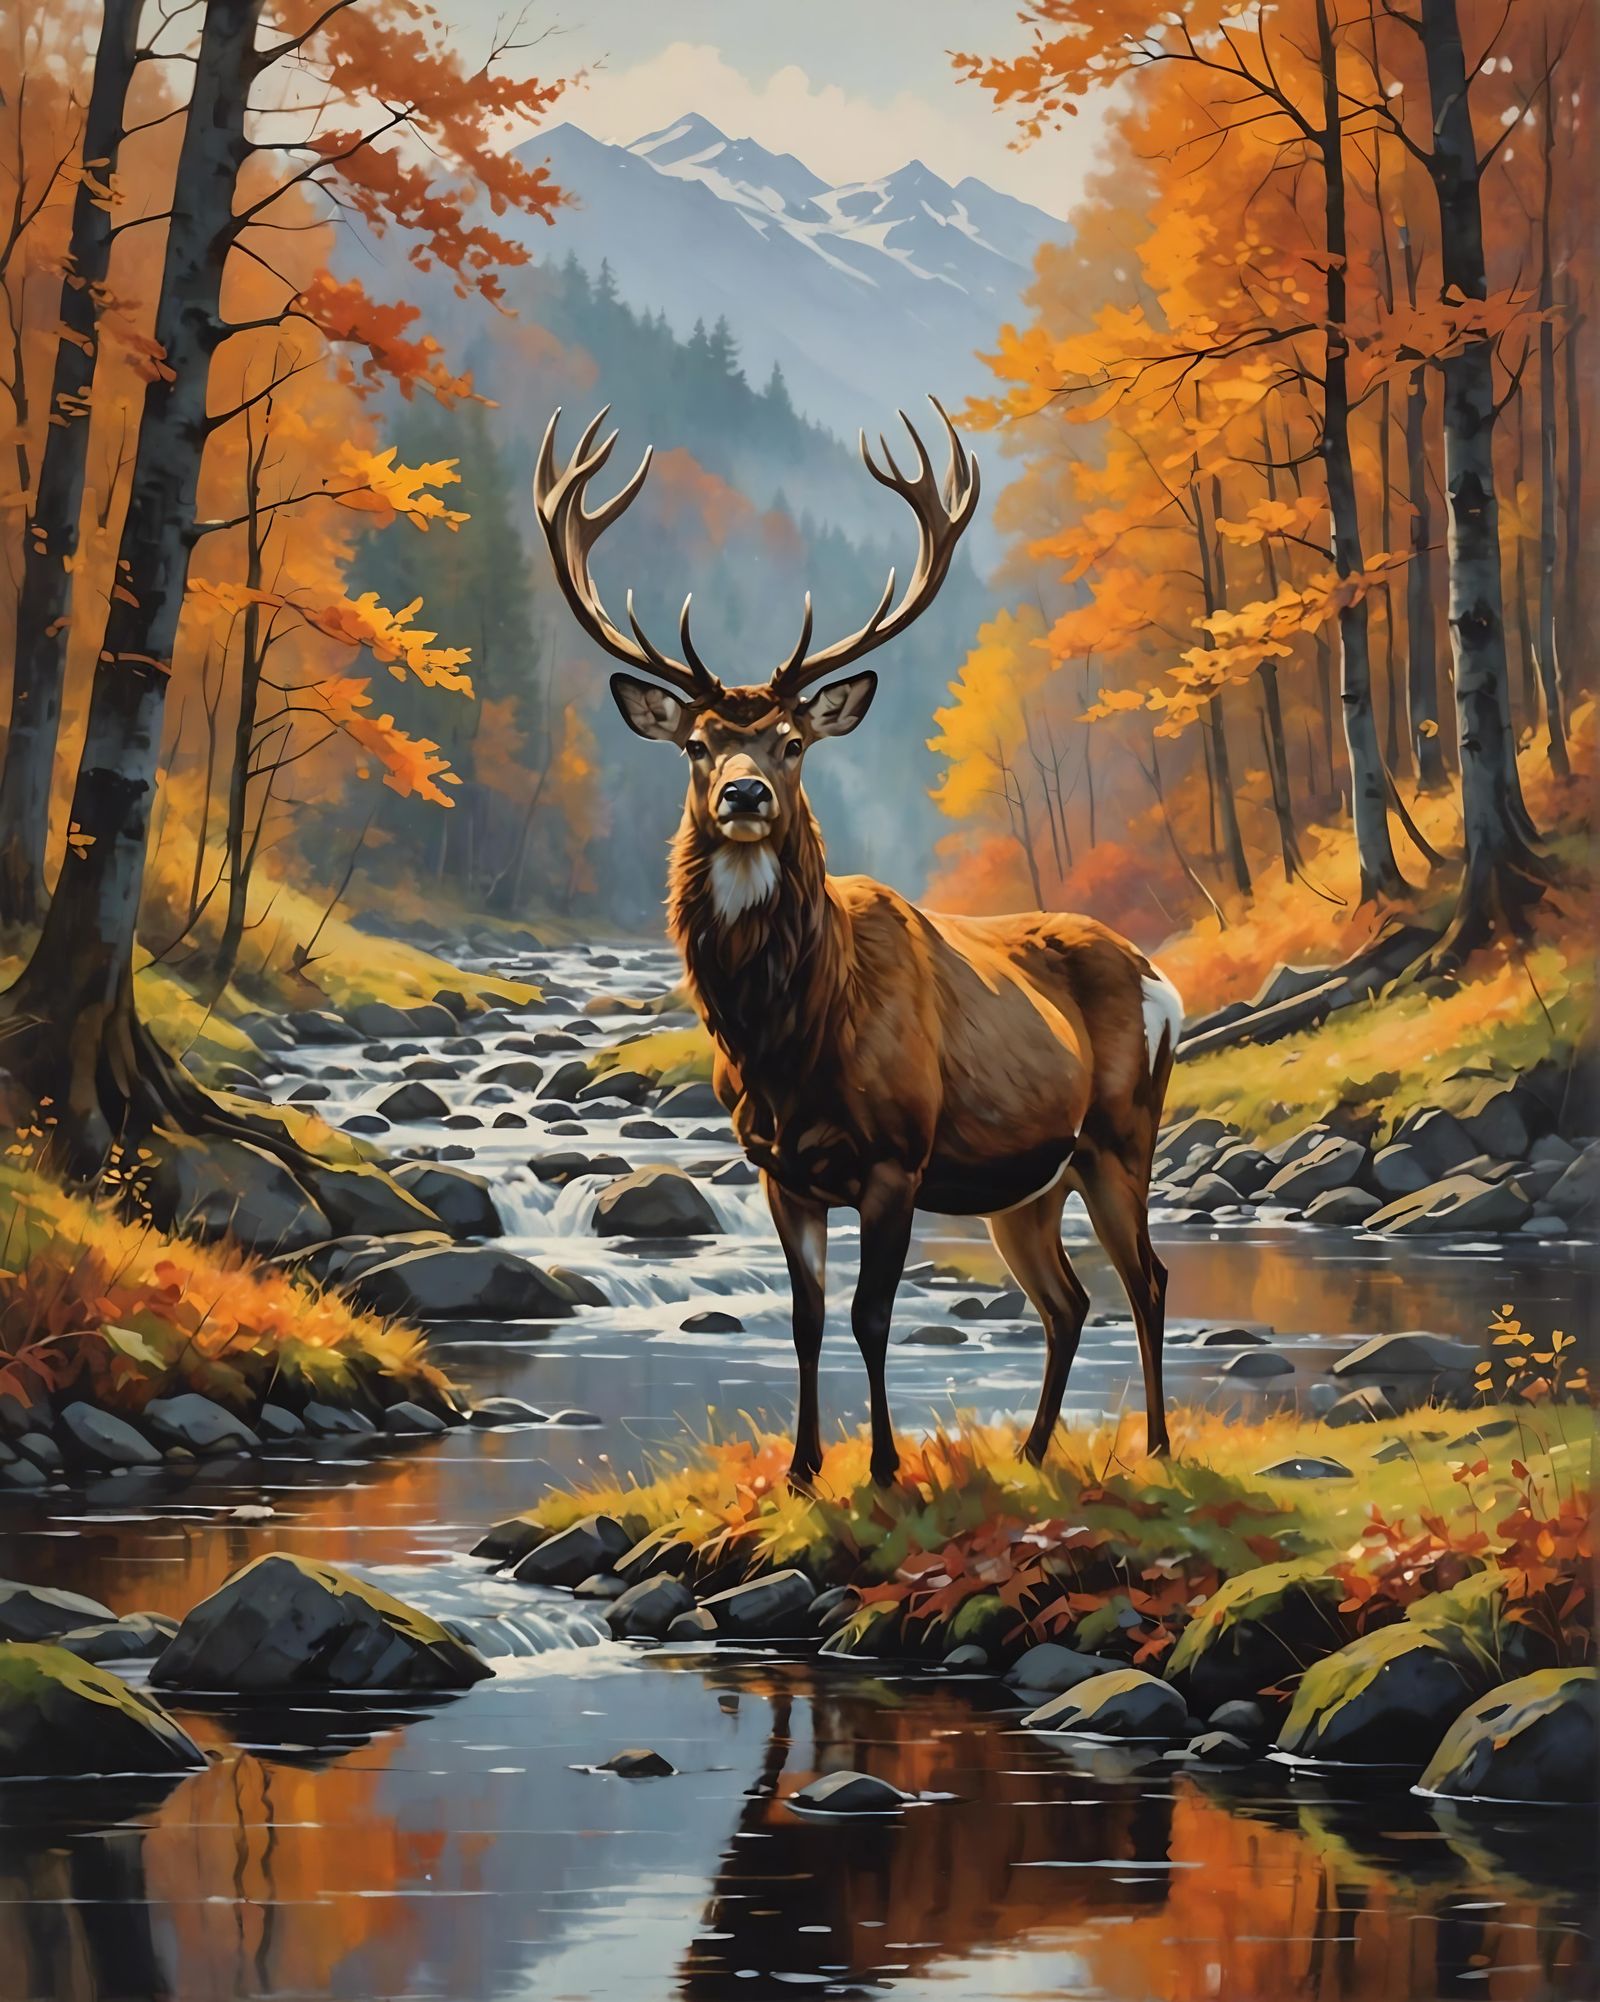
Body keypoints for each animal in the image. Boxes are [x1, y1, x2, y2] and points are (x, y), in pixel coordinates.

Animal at [534, 398, 1183, 1489]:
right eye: (698, 743)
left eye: (793, 741)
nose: (744, 796)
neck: (792, 1039)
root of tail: (1158, 976)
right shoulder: (777, 1167)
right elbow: (803, 1321)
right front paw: (803, 1469)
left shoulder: (897, 1154)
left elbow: (872, 1316)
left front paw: (880, 1467)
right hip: (1026, 1183)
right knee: (1066, 1299)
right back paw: (1032, 1448)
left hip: (1121, 1133)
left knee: (1148, 1277)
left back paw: (1163, 1447)